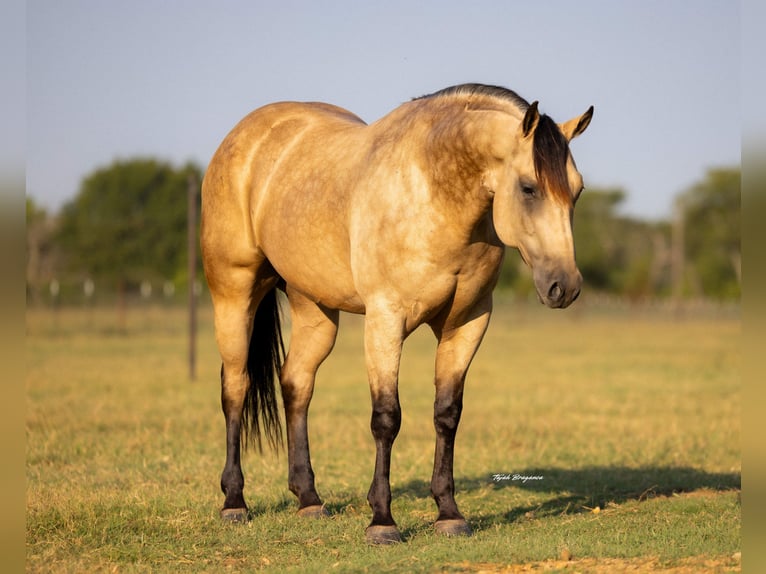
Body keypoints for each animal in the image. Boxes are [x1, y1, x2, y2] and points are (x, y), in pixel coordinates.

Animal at [200, 83, 593, 544]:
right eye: (529, 188)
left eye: (577, 190)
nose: (564, 286)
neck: (432, 194)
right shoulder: (385, 319)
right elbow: (387, 418)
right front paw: (382, 521)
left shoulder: (467, 322)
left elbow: (447, 414)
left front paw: (448, 513)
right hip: (234, 294)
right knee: (236, 388)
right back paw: (234, 502)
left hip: (314, 310)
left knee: (296, 384)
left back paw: (309, 500)